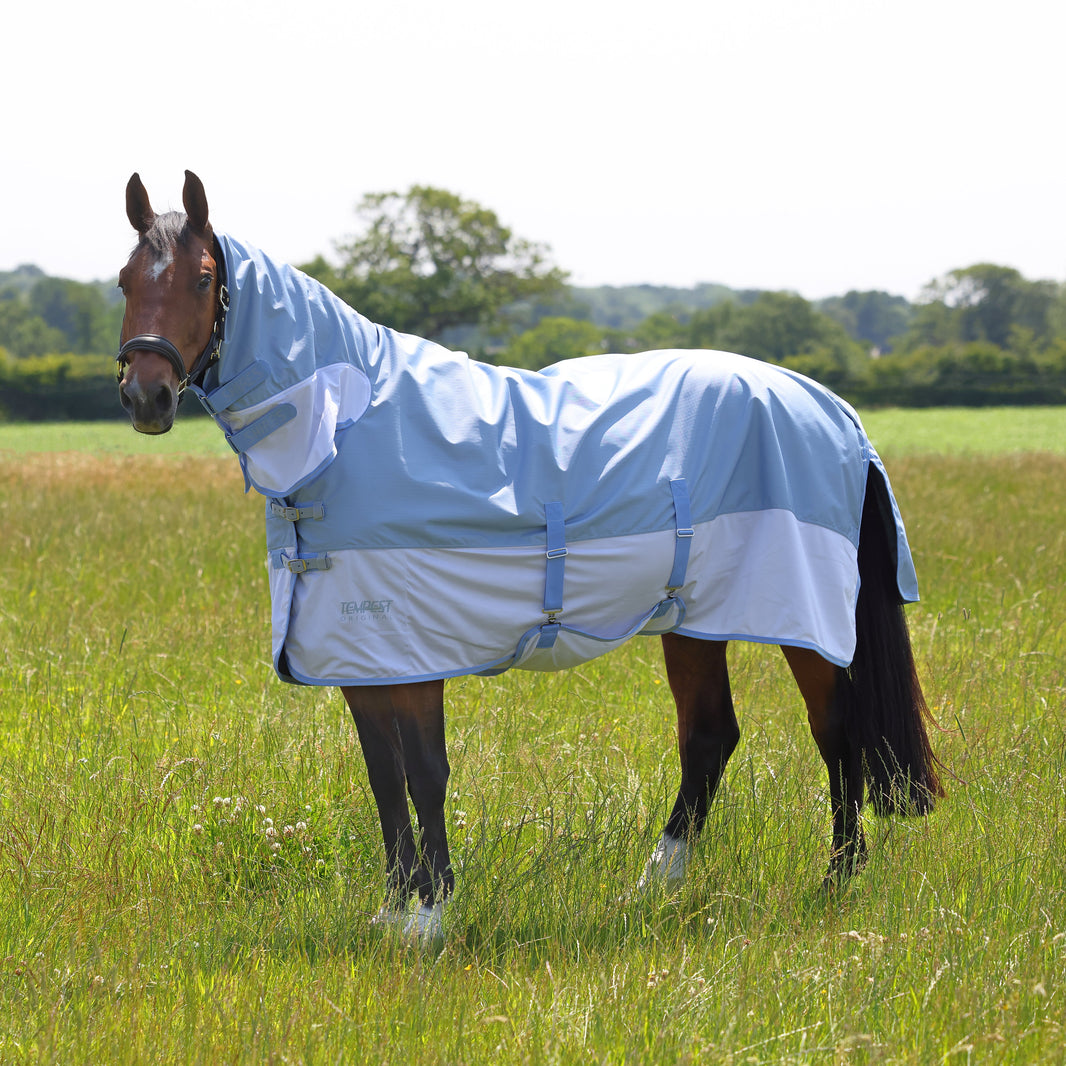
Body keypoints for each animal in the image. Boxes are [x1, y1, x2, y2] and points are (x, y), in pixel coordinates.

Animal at [117, 171, 942, 937]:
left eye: (201, 278)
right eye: (125, 279)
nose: (144, 396)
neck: (350, 430)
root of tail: (829, 406)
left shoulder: (412, 653)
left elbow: (426, 772)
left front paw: (429, 918)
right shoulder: (359, 655)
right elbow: (384, 775)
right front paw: (391, 913)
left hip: (802, 619)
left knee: (835, 731)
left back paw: (834, 883)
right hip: (692, 618)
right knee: (710, 738)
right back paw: (652, 890)